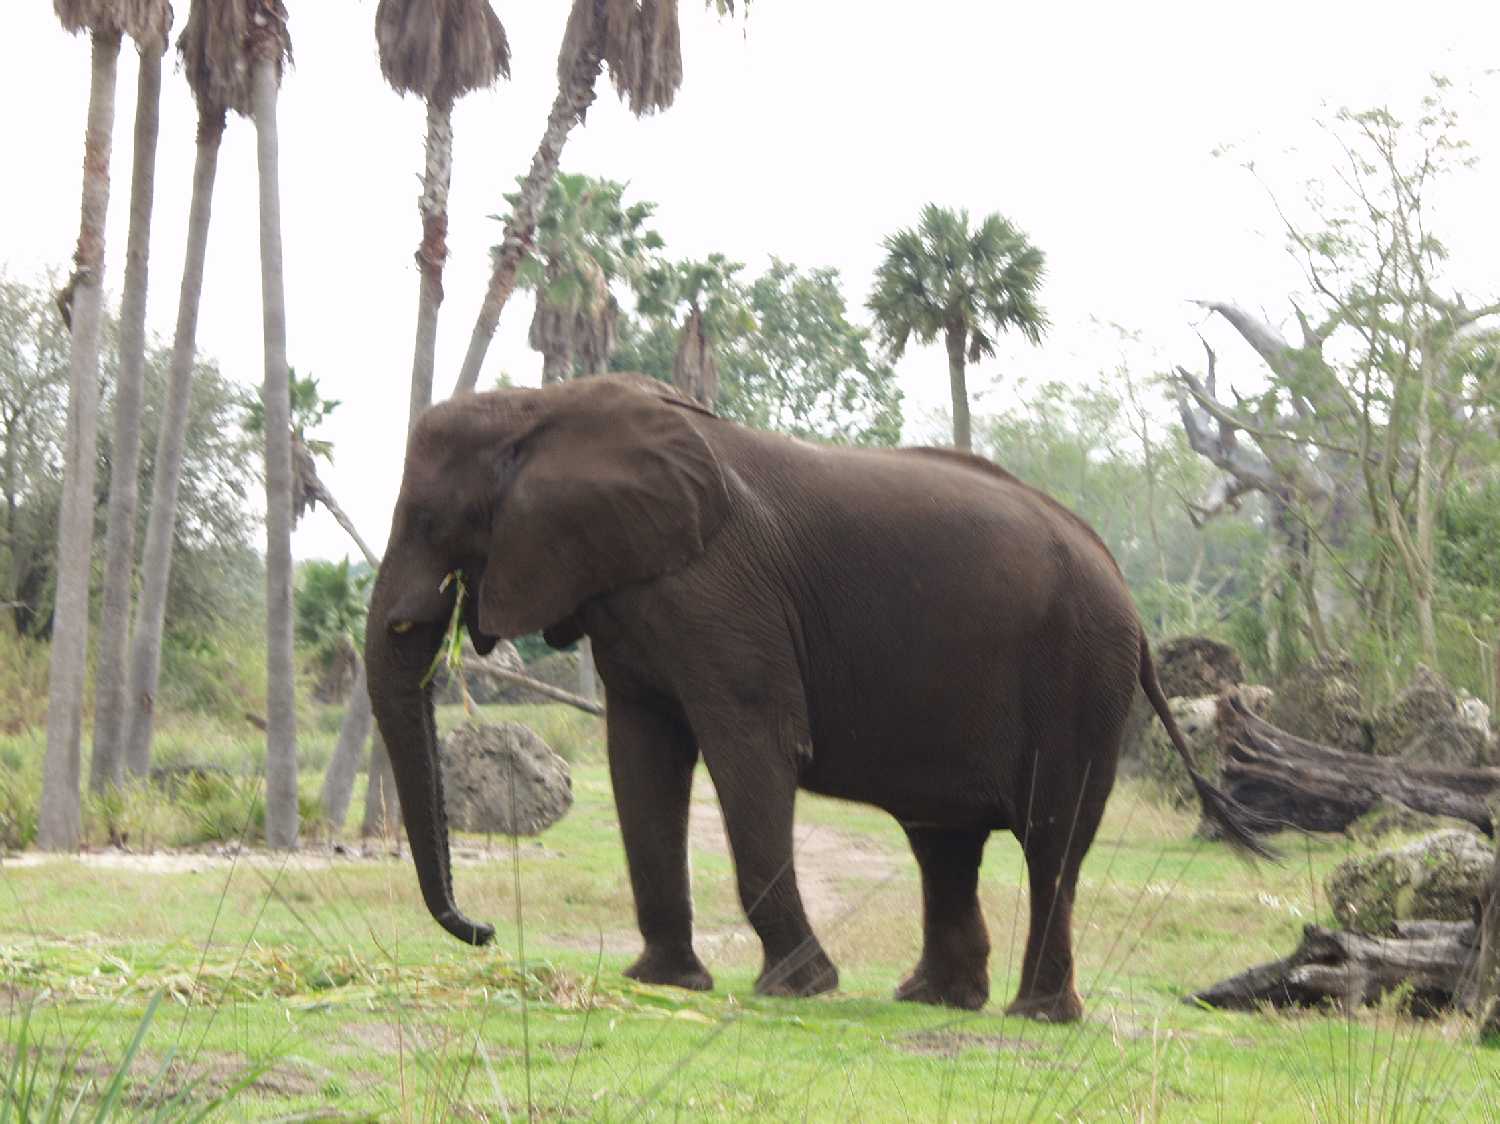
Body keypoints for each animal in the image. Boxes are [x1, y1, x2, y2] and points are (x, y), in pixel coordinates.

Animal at [365, 372, 1272, 1023]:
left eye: (432, 519)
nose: (483, 932)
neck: (544, 404)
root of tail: (1132, 605)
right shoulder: (632, 593)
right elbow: (642, 758)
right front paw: (665, 983)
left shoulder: (719, 591)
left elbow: (750, 749)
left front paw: (795, 989)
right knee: (944, 844)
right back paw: (934, 1000)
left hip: (1081, 674)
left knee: (1050, 840)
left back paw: (1036, 1016)